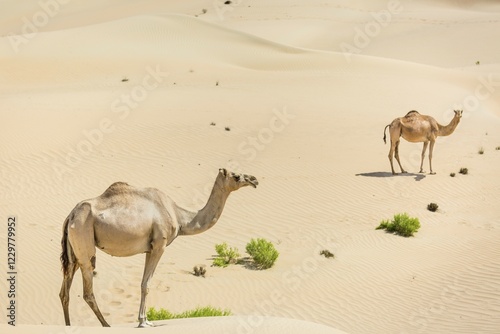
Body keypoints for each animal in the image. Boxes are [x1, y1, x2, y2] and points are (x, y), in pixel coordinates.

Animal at [59, 168, 258, 328]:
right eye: (236, 176)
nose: (254, 179)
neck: (180, 216)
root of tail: (70, 216)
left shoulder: (149, 248)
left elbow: (143, 283)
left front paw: (144, 320)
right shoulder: (160, 245)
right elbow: (146, 284)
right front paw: (143, 322)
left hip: (73, 252)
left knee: (64, 291)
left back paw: (69, 326)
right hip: (84, 240)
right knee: (87, 289)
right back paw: (106, 325)